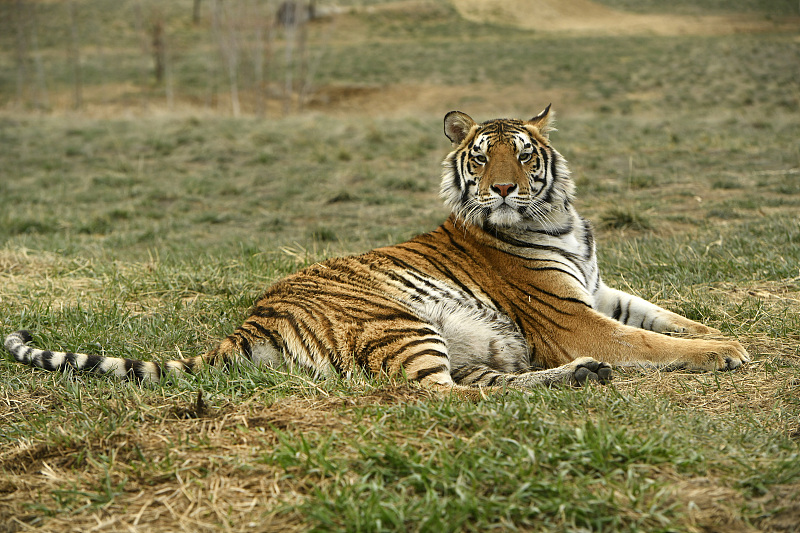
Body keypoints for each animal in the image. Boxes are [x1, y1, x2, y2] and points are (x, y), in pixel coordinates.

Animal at [3, 106, 752, 392]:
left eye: (522, 151)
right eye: (480, 156)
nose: (504, 187)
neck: (560, 217)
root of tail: (249, 321)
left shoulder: (598, 290)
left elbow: (667, 317)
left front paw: (727, 335)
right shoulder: (572, 317)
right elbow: (652, 342)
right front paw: (724, 353)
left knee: (475, 384)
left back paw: (578, 377)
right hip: (401, 319)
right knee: (437, 396)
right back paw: (572, 378)